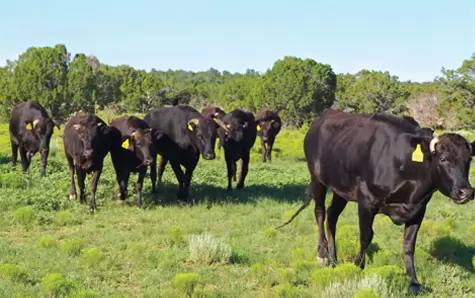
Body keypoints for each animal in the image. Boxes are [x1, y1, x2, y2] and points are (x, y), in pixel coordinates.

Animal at [278, 109, 475, 294]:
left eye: (469, 160)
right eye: (443, 159)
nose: (466, 191)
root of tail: (324, 116)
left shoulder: (419, 209)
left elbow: (409, 245)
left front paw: (414, 282)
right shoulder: (366, 201)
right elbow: (366, 236)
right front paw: (357, 267)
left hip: (340, 190)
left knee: (332, 216)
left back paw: (334, 259)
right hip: (317, 179)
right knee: (320, 212)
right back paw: (322, 255)